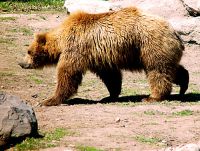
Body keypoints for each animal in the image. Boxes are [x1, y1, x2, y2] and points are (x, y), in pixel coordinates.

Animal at [18, 6, 189, 105]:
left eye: (28, 51)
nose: (21, 63)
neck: (61, 41)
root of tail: (174, 31)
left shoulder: (76, 49)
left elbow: (68, 73)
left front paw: (49, 100)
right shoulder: (99, 56)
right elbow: (110, 76)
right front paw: (110, 95)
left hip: (149, 44)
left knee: (157, 70)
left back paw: (152, 97)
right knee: (171, 68)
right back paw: (183, 86)